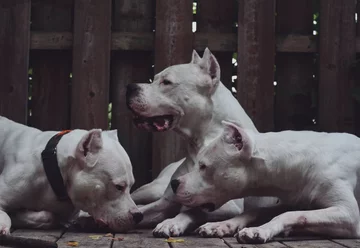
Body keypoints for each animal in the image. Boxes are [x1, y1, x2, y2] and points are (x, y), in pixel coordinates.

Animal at [125, 48, 278, 236]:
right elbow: (142, 211)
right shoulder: (164, 203)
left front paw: (171, 222)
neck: (198, 145)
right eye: (155, 79)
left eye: (166, 82)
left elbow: (192, 211)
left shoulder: (229, 205)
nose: (129, 87)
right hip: (152, 189)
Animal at [170, 121, 360, 243]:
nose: (173, 183)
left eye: (203, 166)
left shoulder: (348, 214)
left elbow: (290, 214)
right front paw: (222, 225)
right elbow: (255, 210)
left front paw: (259, 230)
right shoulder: (293, 199)